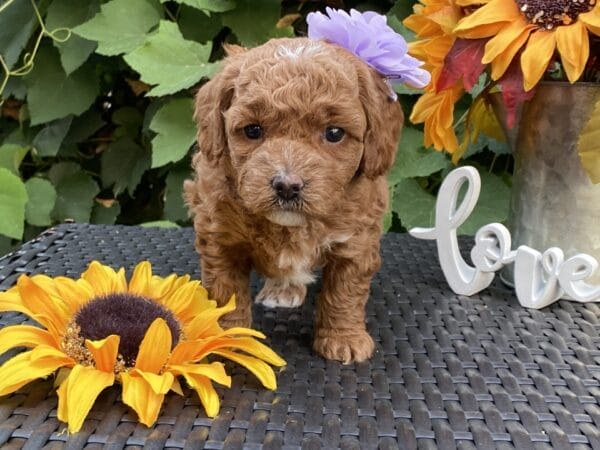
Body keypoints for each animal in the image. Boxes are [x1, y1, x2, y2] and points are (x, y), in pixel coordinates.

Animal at [186, 37, 404, 364]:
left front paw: (344, 339)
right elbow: (226, 293)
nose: (287, 186)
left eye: (334, 133)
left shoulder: (356, 240)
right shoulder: (220, 238)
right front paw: (227, 339)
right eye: (253, 130)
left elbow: (345, 292)